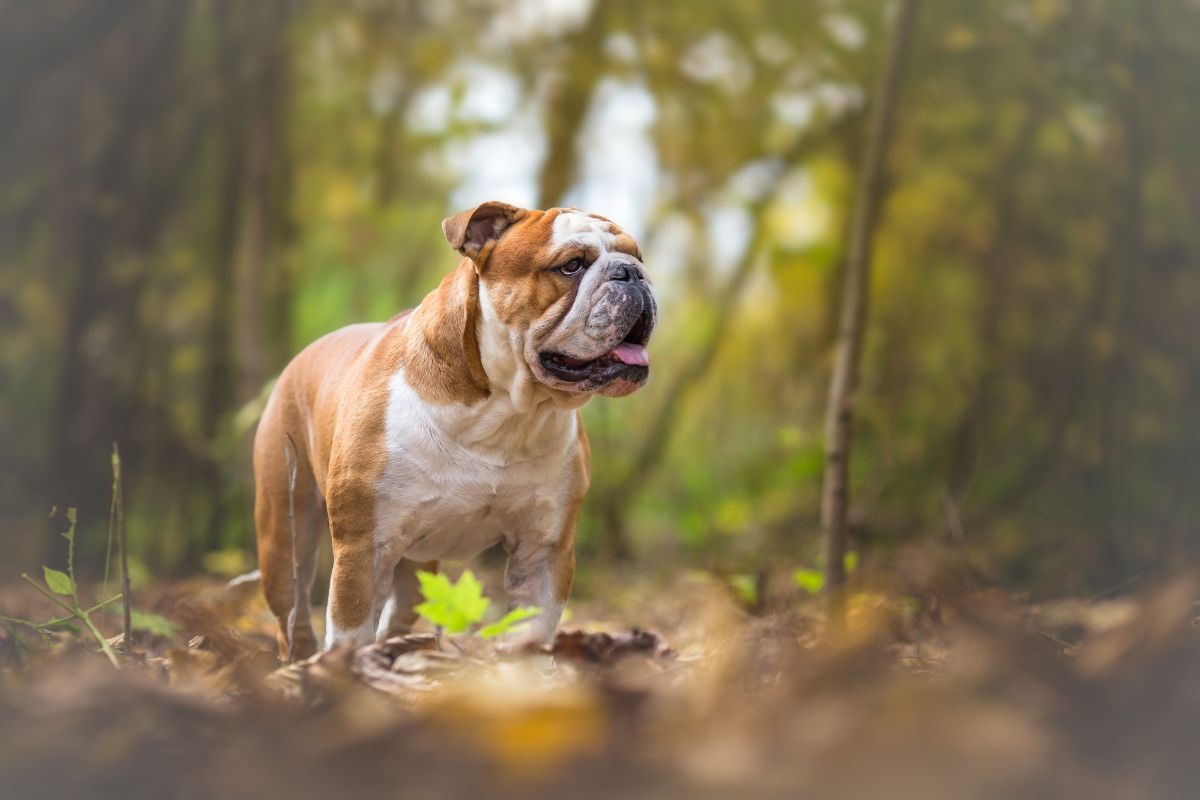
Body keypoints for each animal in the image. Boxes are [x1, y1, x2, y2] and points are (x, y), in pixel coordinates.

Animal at [252, 203, 657, 662]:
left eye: (638, 258)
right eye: (571, 265)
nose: (632, 274)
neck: (504, 414)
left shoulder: (544, 549)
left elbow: (530, 631)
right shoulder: (362, 549)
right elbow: (350, 633)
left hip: (415, 565)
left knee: (398, 613)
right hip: (284, 536)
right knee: (293, 612)